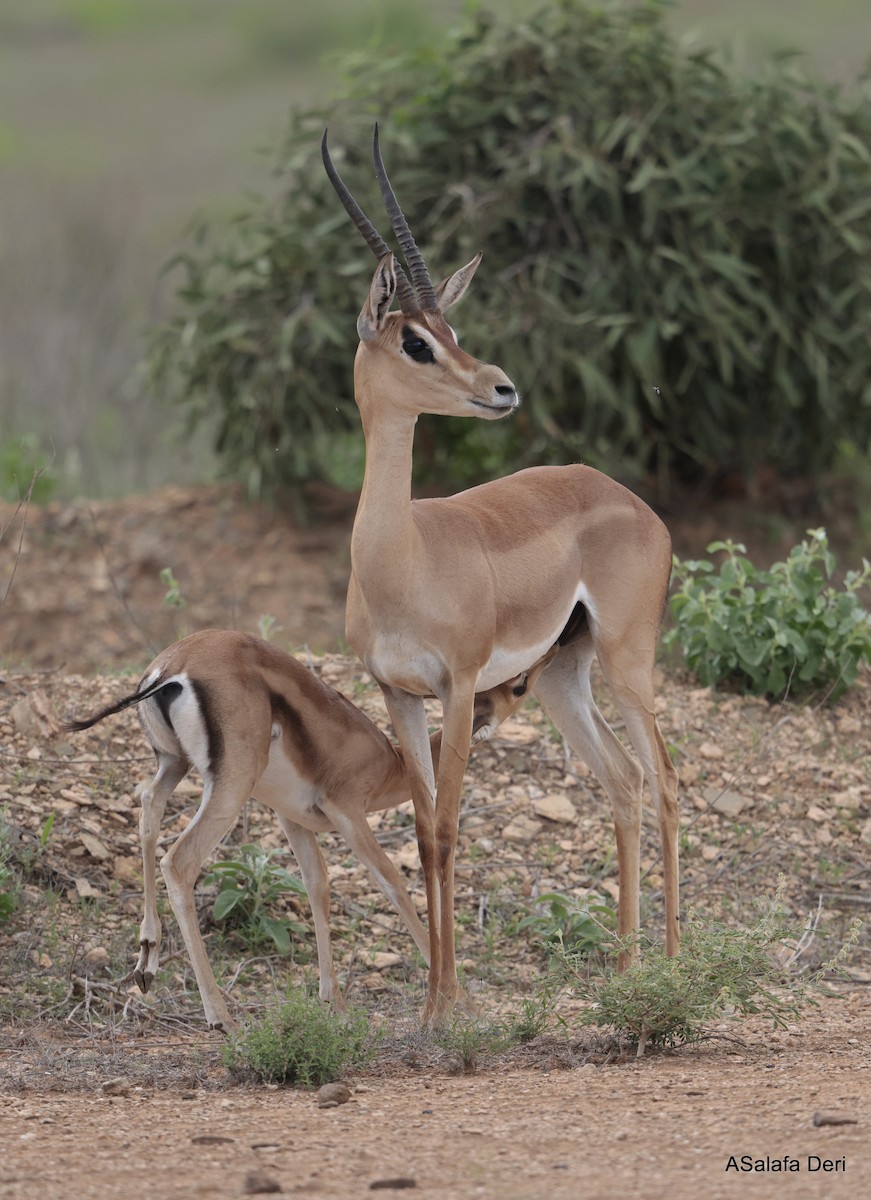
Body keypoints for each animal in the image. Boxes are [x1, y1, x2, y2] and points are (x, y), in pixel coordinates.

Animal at [65, 629, 552, 1031]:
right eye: (519, 684)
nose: (549, 656)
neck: (390, 761)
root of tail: (170, 668)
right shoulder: (348, 812)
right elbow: (393, 885)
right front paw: (465, 1005)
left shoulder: (292, 818)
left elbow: (318, 885)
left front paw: (333, 1002)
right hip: (230, 787)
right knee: (179, 861)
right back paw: (222, 1018)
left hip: (174, 764)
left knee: (148, 805)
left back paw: (146, 963)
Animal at [322, 128, 680, 1020]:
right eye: (414, 338)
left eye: (448, 325)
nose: (501, 388)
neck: (402, 555)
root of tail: (628, 499)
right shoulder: (398, 695)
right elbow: (422, 832)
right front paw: (429, 1004)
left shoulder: (457, 689)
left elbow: (451, 828)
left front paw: (450, 1005)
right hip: (560, 678)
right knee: (622, 782)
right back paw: (624, 970)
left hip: (626, 665)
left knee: (662, 782)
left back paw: (672, 966)